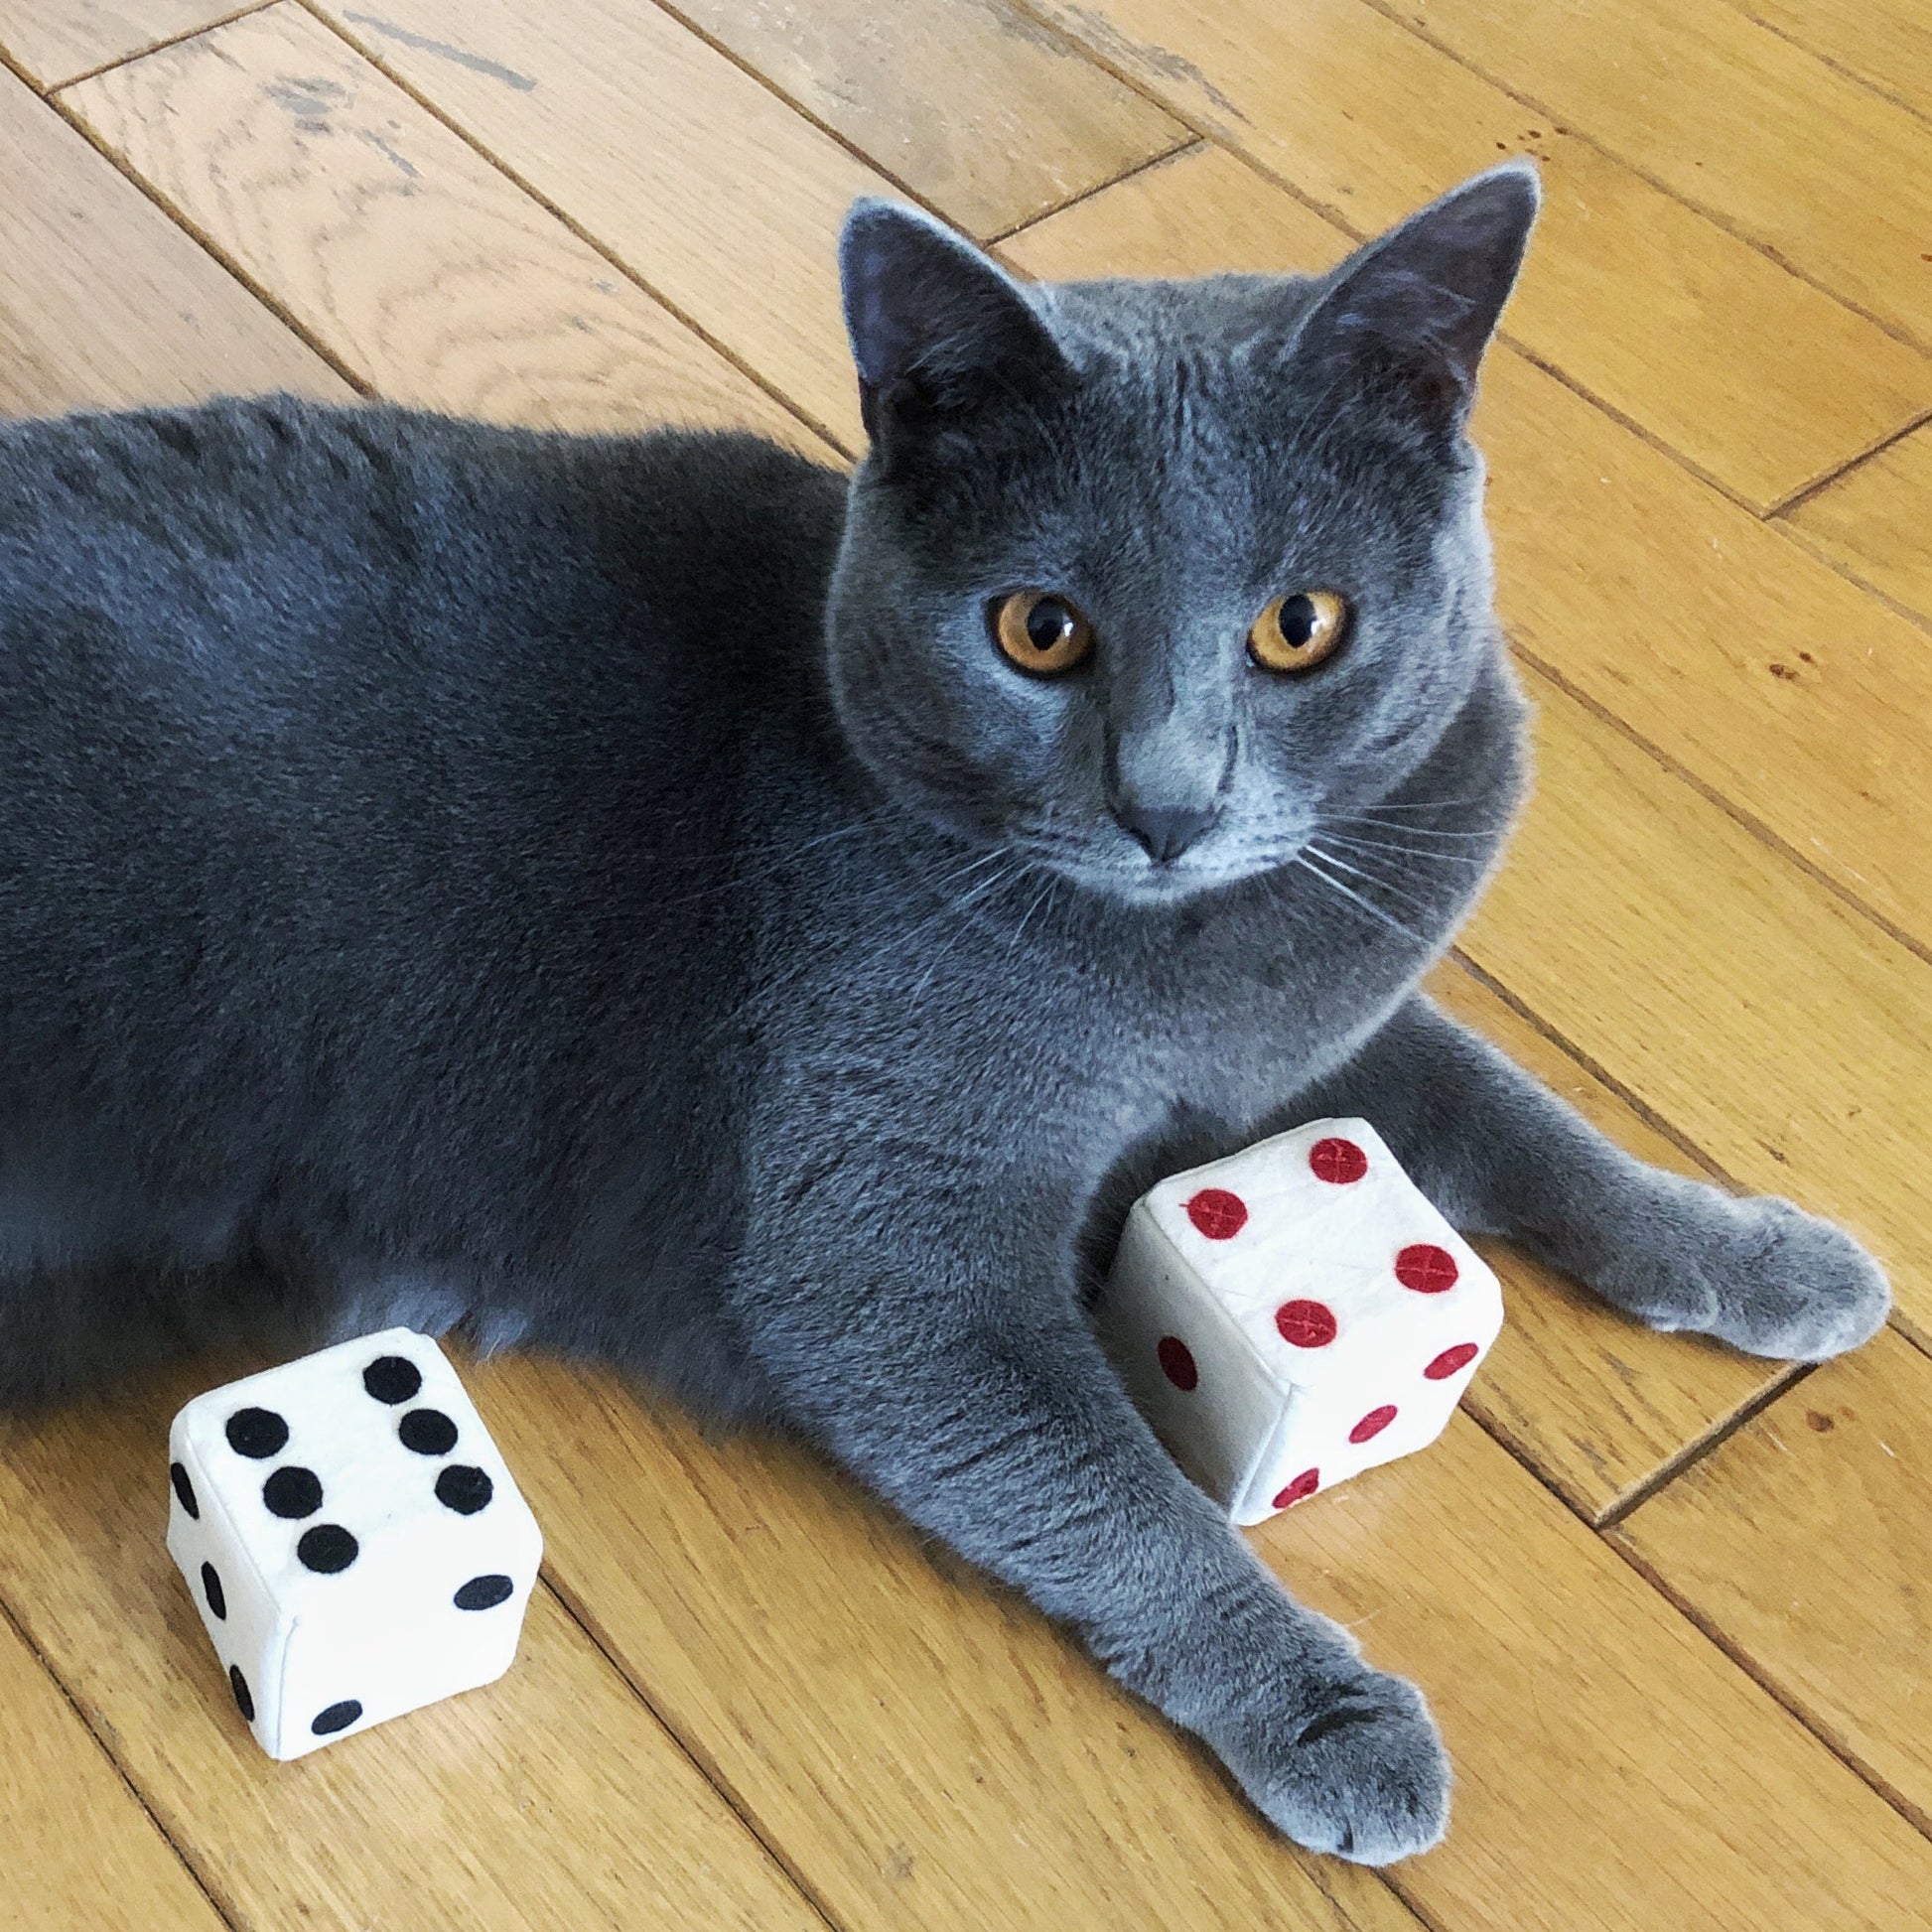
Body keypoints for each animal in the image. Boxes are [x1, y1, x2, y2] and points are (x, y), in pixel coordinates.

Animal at [0, 162, 1885, 1855]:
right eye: (1038, 629)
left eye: (1301, 627)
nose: (1167, 805)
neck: (1186, 981)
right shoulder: (887, 1246)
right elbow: (1109, 1484)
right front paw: (1328, 1713)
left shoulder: (1325, 1017)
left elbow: (1520, 1116)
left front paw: (1767, 1256)